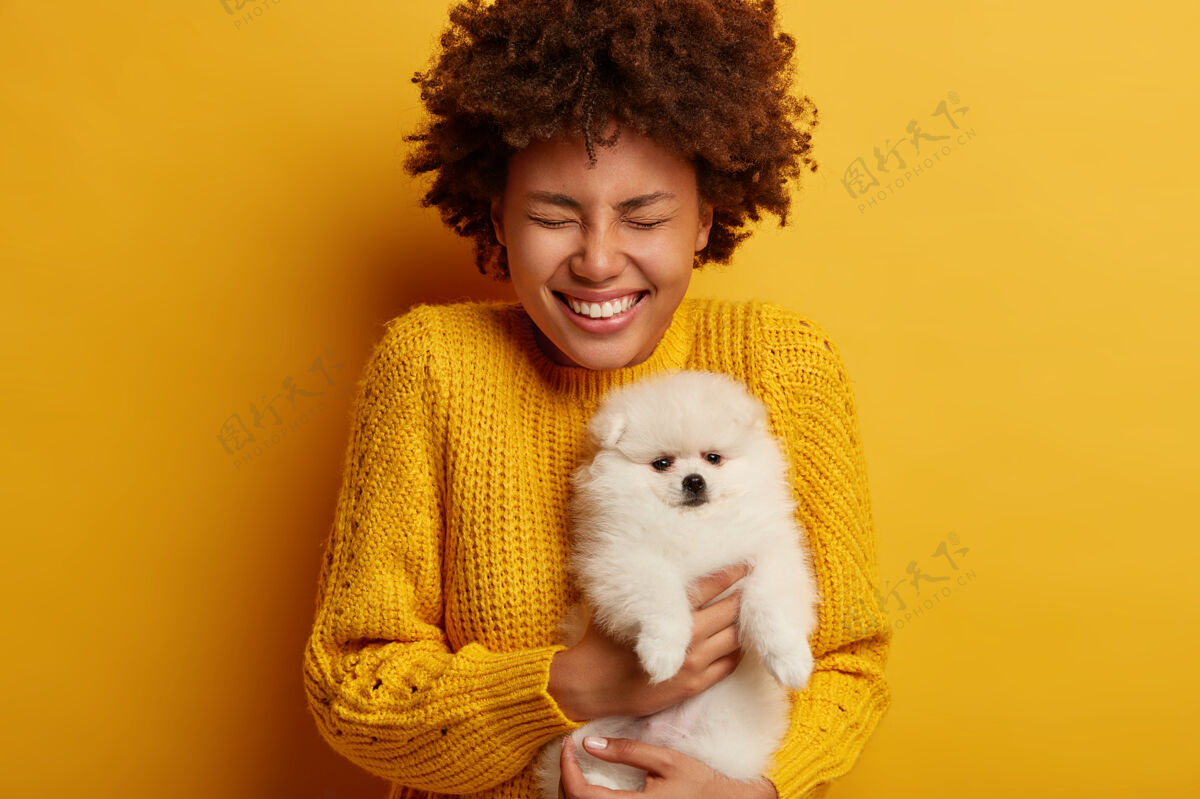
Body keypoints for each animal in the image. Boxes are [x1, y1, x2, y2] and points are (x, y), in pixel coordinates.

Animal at [537, 369, 825, 791]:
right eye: (661, 463)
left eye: (713, 458)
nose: (694, 480)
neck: (694, 523)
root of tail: (663, 738)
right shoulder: (623, 558)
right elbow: (662, 599)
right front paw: (664, 653)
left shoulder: (770, 556)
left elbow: (770, 608)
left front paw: (790, 661)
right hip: (589, 737)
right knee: (595, 763)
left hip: (722, 741)